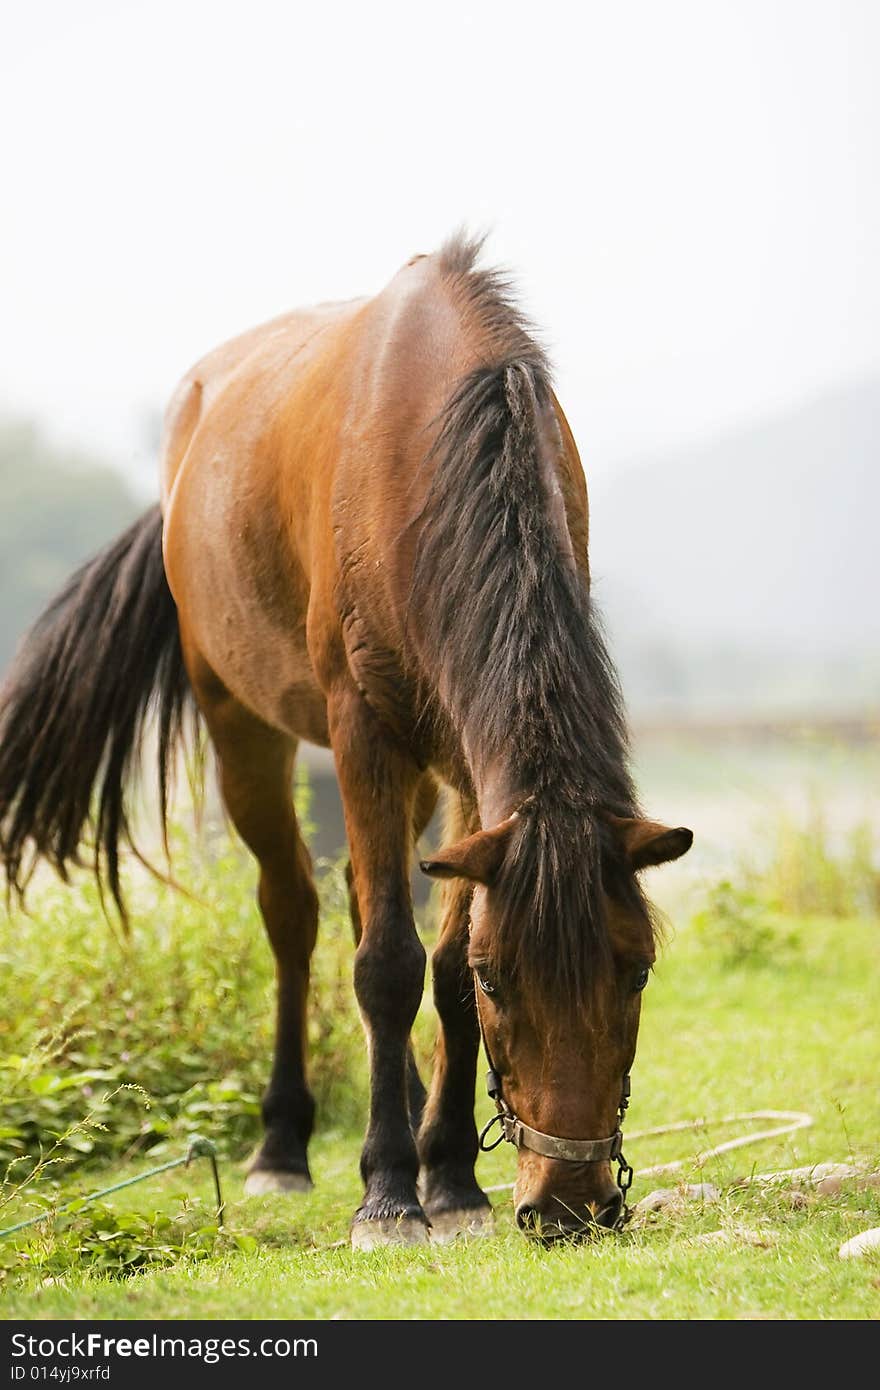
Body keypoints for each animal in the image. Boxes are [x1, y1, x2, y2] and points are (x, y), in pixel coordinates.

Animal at [0, 233, 692, 1245]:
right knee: (295, 915)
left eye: (636, 970)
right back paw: (284, 1147)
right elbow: (390, 966)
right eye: (503, 980)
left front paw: (449, 1175)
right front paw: (391, 1194)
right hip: (243, 728)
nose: (568, 1201)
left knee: (370, 906)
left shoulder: (469, 774)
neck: (429, 449)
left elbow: (432, 964)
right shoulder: (361, 729)